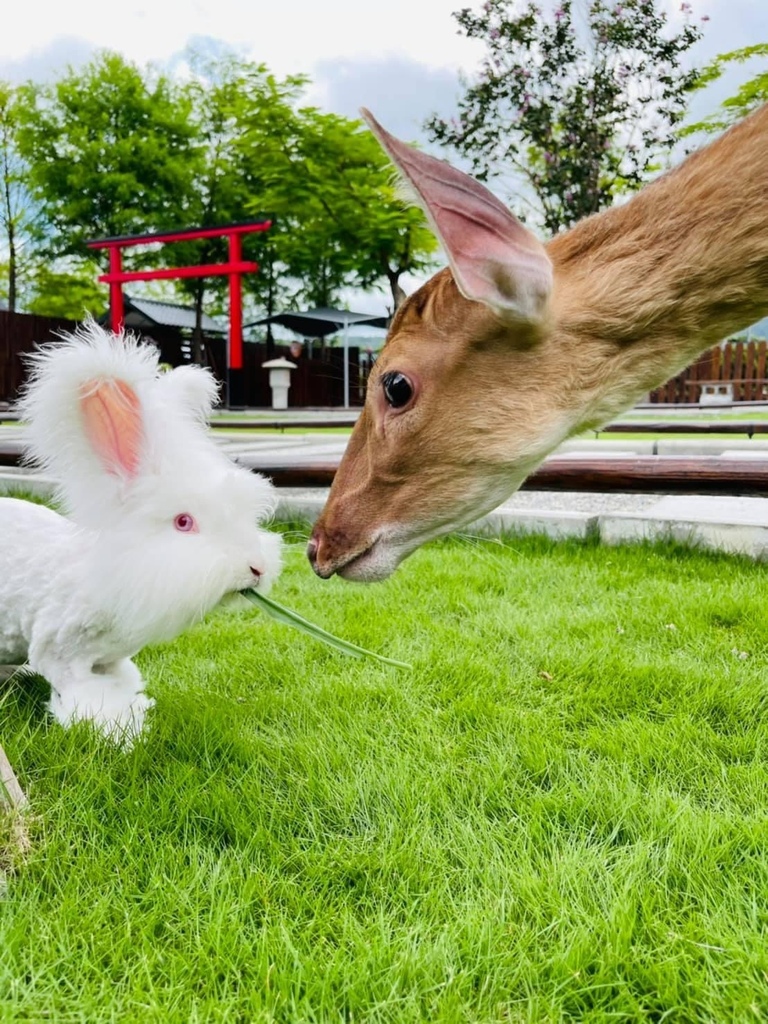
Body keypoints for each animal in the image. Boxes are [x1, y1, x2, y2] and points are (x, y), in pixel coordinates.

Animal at [0, 319, 284, 737]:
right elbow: (88, 695)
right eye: (183, 522)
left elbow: (122, 681)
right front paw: (118, 732)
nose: (257, 568)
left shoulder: (111, 658)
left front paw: (136, 709)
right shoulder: (61, 652)